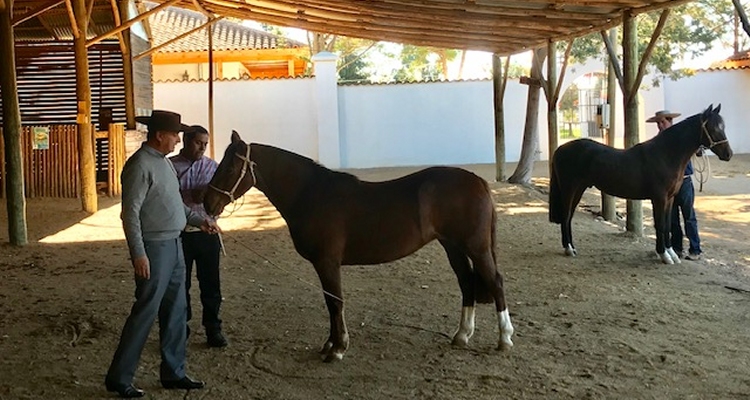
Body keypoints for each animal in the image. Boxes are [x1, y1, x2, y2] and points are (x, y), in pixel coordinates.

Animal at [203, 132, 516, 362]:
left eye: (229, 167)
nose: (207, 202)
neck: (311, 193)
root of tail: (478, 181)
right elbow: (330, 302)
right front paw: (330, 344)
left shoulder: (327, 262)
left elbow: (335, 302)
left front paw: (338, 348)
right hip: (453, 246)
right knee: (466, 283)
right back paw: (461, 335)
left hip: (476, 248)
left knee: (496, 282)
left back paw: (504, 338)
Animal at [548, 104, 732, 264]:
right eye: (714, 128)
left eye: (723, 127)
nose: (728, 154)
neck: (665, 154)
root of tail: (559, 150)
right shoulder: (659, 198)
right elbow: (660, 225)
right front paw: (664, 255)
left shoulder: (670, 199)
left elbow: (667, 225)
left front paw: (672, 254)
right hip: (570, 189)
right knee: (566, 216)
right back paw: (569, 249)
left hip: (578, 189)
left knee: (569, 216)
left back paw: (571, 247)